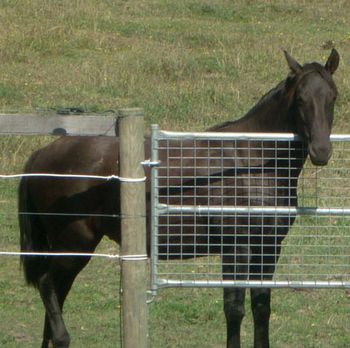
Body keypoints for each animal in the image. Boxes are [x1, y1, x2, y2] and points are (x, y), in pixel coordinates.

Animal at [18, 49, 340, 348]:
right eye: (300, 99)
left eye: (333, 97)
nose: (321, 151)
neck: (252, 161)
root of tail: (41, 155)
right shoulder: (236, 248)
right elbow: (234, 309)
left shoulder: (269, 247)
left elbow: (261, 307)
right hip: (74, 246)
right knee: (47, 286)